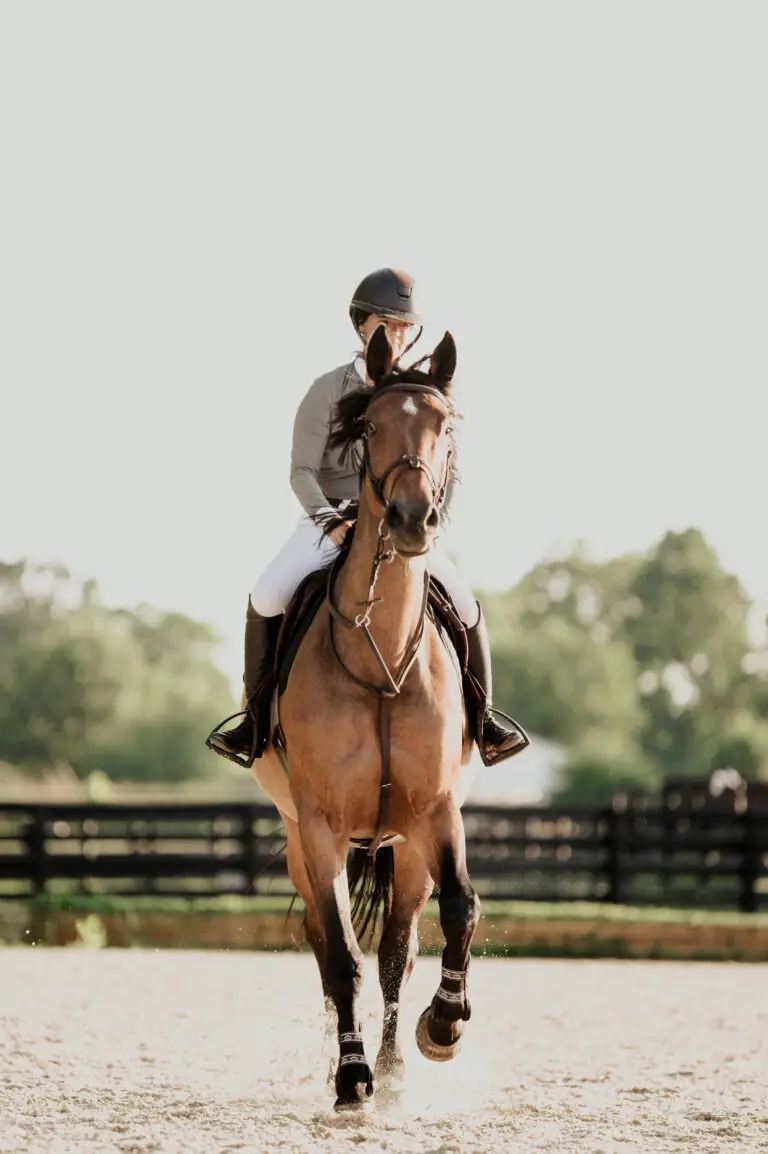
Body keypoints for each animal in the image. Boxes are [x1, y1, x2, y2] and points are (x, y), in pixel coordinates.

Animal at [250, 325, 481, 1112]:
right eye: (371, 427)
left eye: (447, 428)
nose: (414, 521)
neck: (379, 657)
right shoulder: (320, 824)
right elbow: (341, 956)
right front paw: (350, 1077)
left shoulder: (436, 810)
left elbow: (459, 909)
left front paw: (443, 1027)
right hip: (301, 841)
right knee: (330, 950)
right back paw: (349, 1064)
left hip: (402, 846)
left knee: (397, 951)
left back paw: (396, 1066)